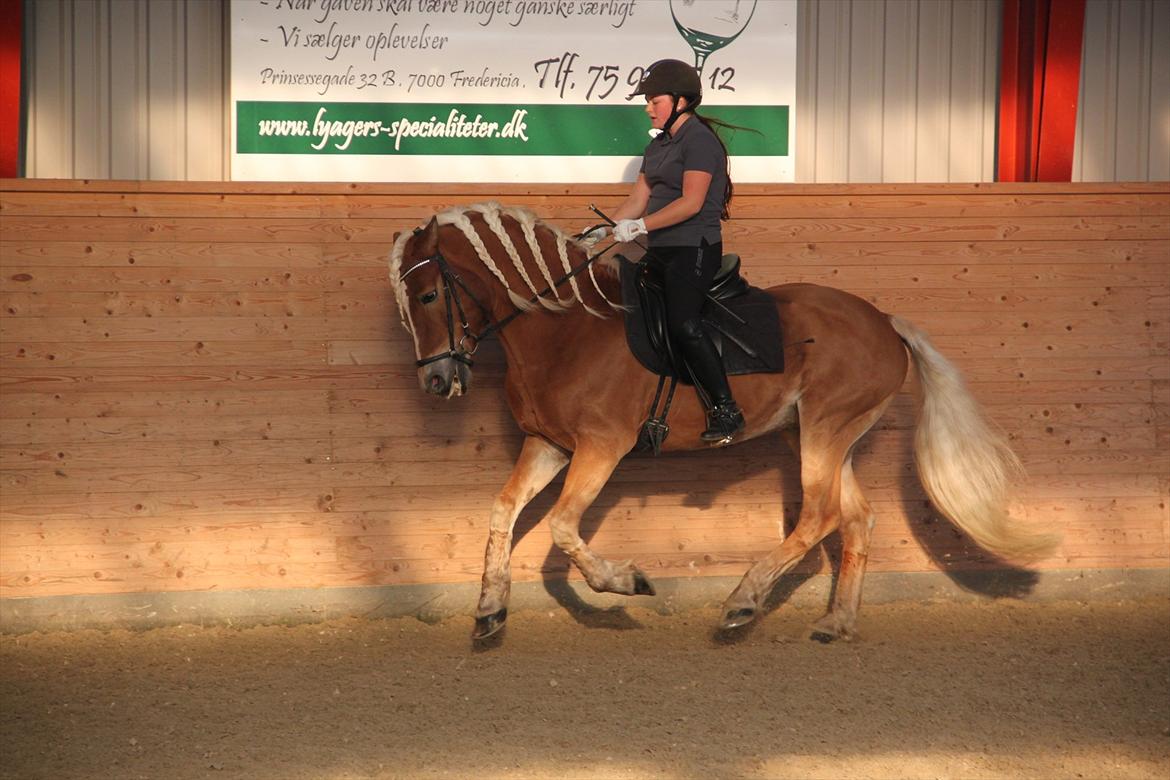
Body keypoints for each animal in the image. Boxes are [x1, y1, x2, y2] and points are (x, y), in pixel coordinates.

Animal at [388, 201, 1057, 640]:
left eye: (428, 296)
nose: (436, 382)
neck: (563, 328)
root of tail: (885, 321)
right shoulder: (547, 444)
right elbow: (504, 511)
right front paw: (489, 609)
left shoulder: (601, 447)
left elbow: (560, 527)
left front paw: (628, 581)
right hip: (816, 431)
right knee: (857, 517)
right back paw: (836, 621)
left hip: (826, 425)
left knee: (819, 515)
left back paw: (744, 600)